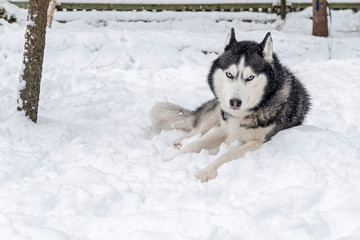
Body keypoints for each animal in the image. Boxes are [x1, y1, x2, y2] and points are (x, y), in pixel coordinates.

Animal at [149, 28, 310, 182]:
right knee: (194, 132)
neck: (244, 115)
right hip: (215, 115)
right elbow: (194, 145)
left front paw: (204, 173)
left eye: (250, 77)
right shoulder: (221, 128)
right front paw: (169, 163)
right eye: (229, 74)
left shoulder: (257, 143)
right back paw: (179, 142)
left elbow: (226, 155)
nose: (234, 102)